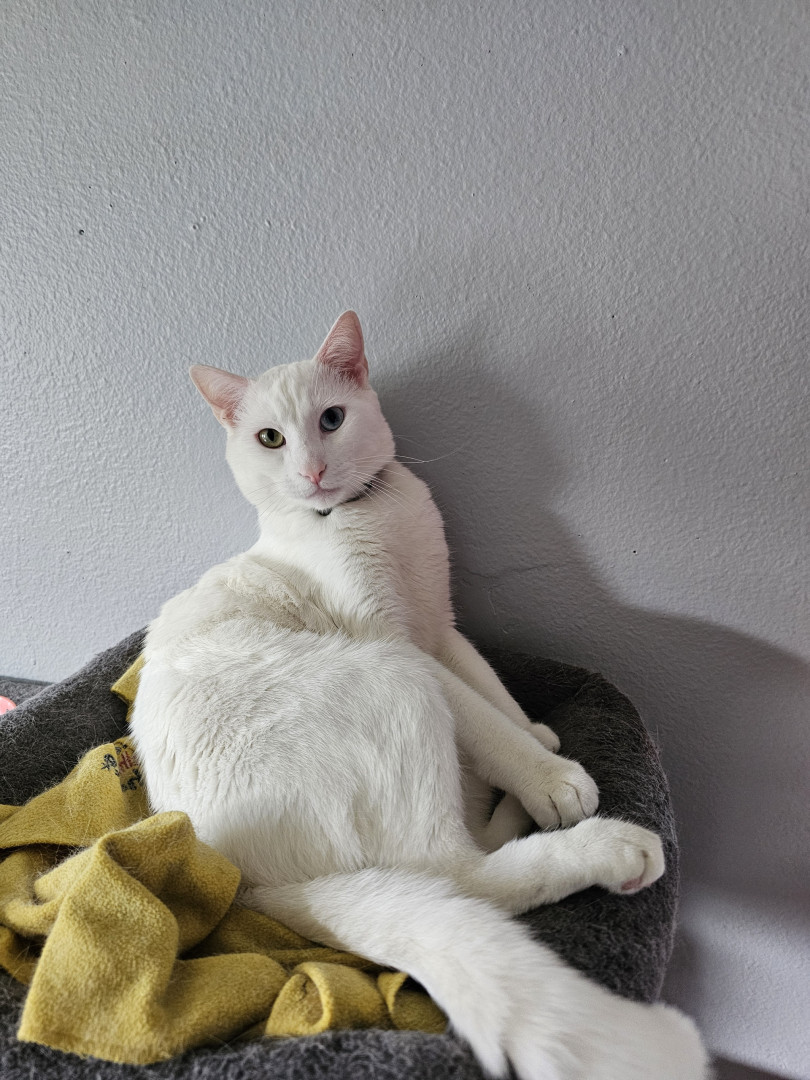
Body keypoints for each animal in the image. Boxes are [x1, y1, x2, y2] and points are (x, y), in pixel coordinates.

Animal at [130, 311, 709, 1080]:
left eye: (332, 419)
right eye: (270, 439)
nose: (312, 471)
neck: (364, 517)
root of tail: (239, 874)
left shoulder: (440, 626)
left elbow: (490, 692)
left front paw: (537, 735)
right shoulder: (404, 646)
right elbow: (483, 723)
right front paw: (549, 778)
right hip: (390, 678)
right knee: (459, 874)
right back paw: (588, 840)